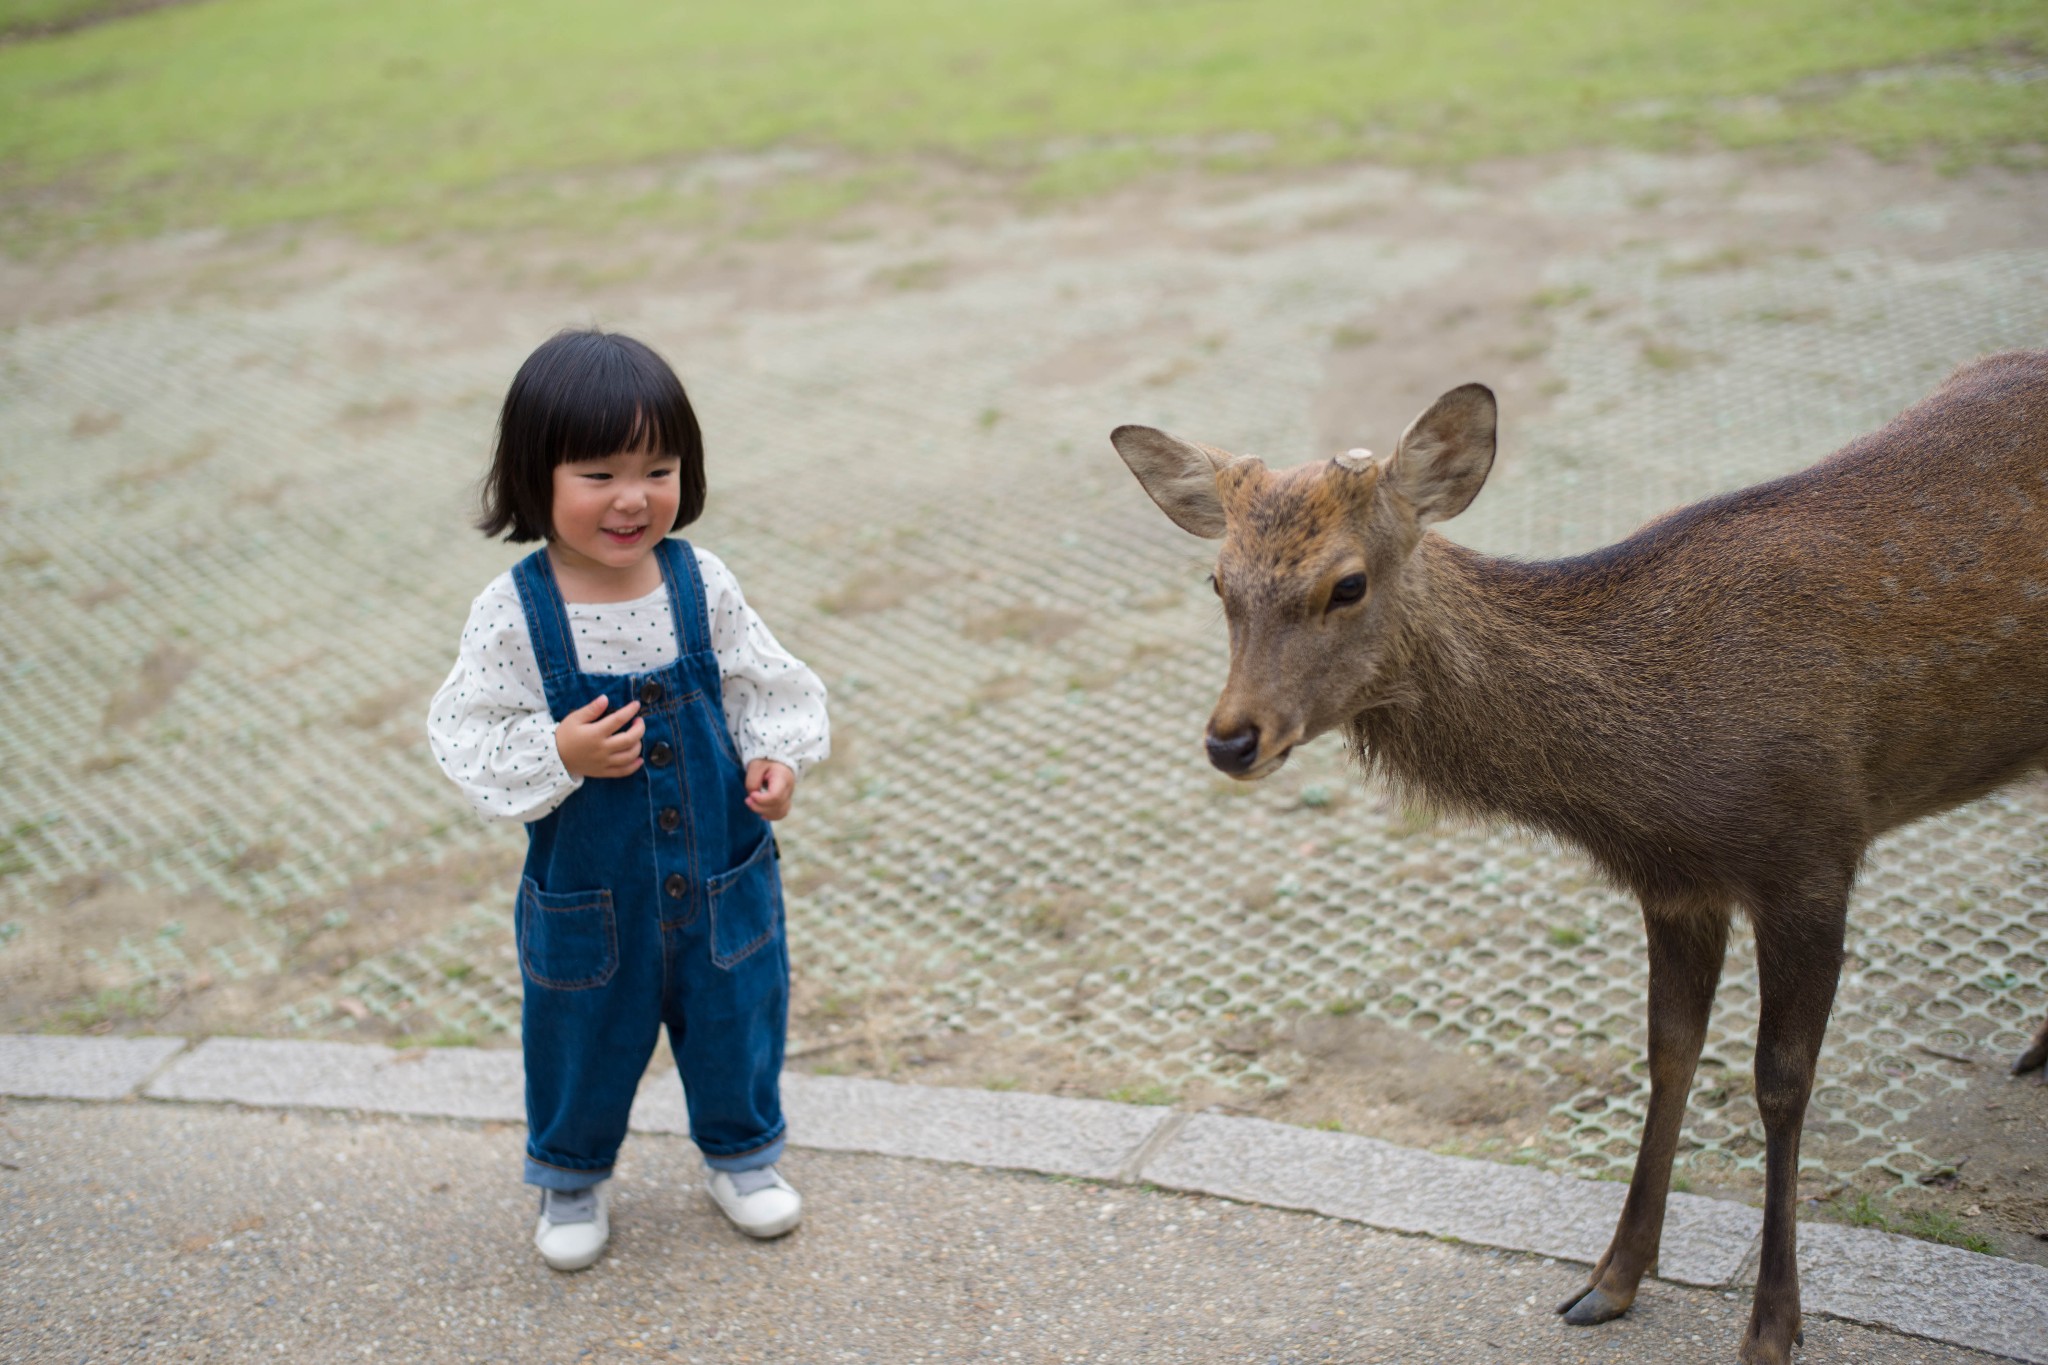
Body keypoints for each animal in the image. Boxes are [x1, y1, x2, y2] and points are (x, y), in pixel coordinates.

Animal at [1114, 351, 2048, 1365]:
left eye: (1348, 583)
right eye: (1219, 583)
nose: (1231, 739)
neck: (1654, 775)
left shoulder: (1813, 850)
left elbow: (1781, 1082)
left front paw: (1772, 1325)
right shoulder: (1677, 884)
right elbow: (1669, 1052)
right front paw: (1611, 1278)